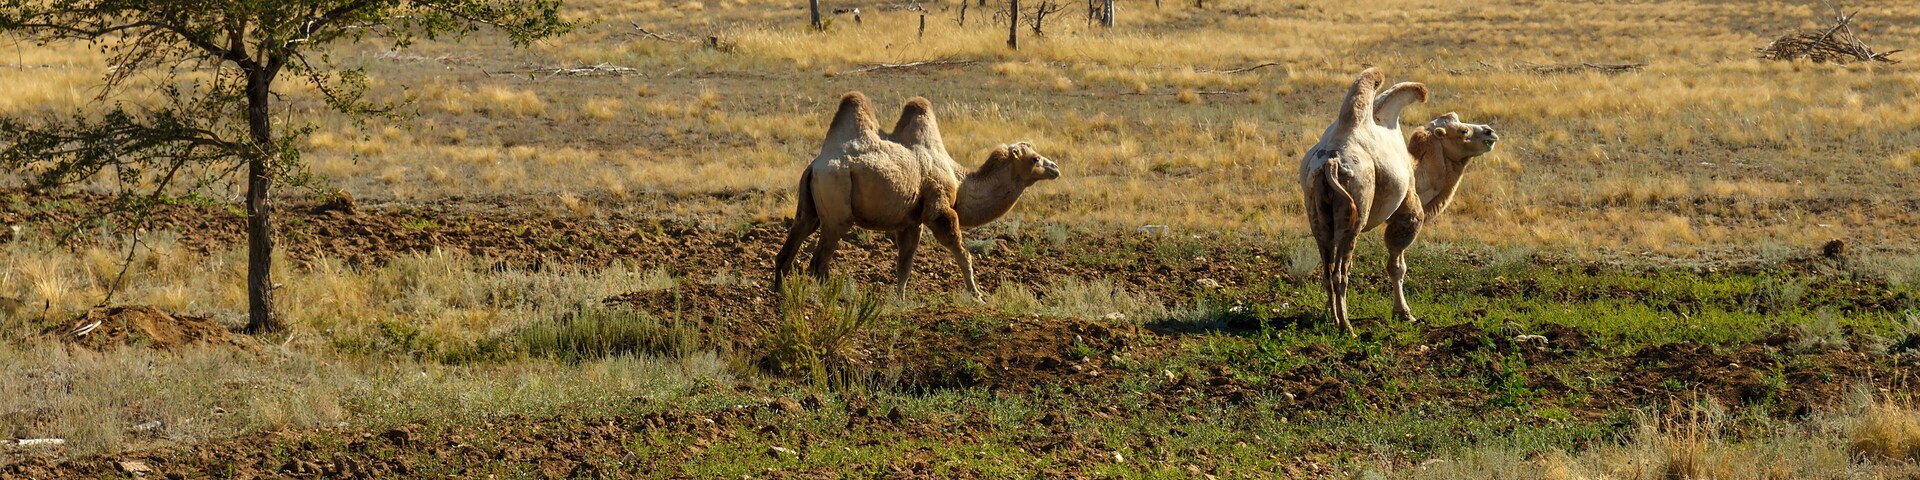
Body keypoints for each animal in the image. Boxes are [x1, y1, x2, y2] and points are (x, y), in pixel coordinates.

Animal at [773, 92, 1061, 298]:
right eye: (1035, 158)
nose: (1055, 168)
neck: (959, 181)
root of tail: (815, 166)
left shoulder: (911, 222)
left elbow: (905, 263)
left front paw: (899, 300)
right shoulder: (939, 208)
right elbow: (961, 251)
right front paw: (977, 295)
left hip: (809, 206)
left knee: (793, 243)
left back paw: (781, 293)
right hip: (837, 203)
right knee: (818, 262)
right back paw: (830, 297)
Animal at [1298, 68, 1498, 336]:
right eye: (1463, 131)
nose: (1489, 131)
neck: (1417, 169)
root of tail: (1331, 161)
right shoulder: (1408, 210)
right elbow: (1397, 265)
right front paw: (1404, 314)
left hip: (1316, 209)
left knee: (1327, 268)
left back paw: (1332, 319)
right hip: (1355, 209)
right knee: (1341, 270)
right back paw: (1347, 327)